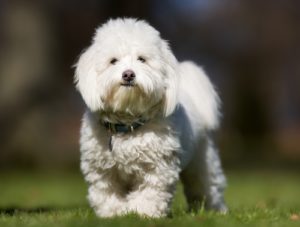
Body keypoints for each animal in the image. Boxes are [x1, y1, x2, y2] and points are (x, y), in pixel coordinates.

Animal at [74, 18, 226, 218]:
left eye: (142, 59)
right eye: (113, 61)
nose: (128, 74)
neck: (127, 124)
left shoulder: (158, 168)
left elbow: (150, 193)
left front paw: (141, 213)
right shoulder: (102, 170)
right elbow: (106, 193)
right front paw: (114, 213)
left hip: (201, 162)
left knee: (207, 187)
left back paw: (216, 211)